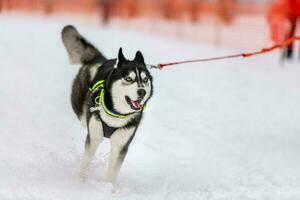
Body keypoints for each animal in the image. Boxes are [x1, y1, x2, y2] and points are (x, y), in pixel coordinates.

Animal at [61, 25, 154, 184]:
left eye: (145, 79)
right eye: (128, 79)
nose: (141, 91)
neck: (116, 115)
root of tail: (101, 59)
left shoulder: (121, 145)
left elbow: (112, 172)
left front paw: (108, 187)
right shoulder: (94, 138)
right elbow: (86, 163)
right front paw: (80, 182)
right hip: (80, 106)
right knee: (84, 117)